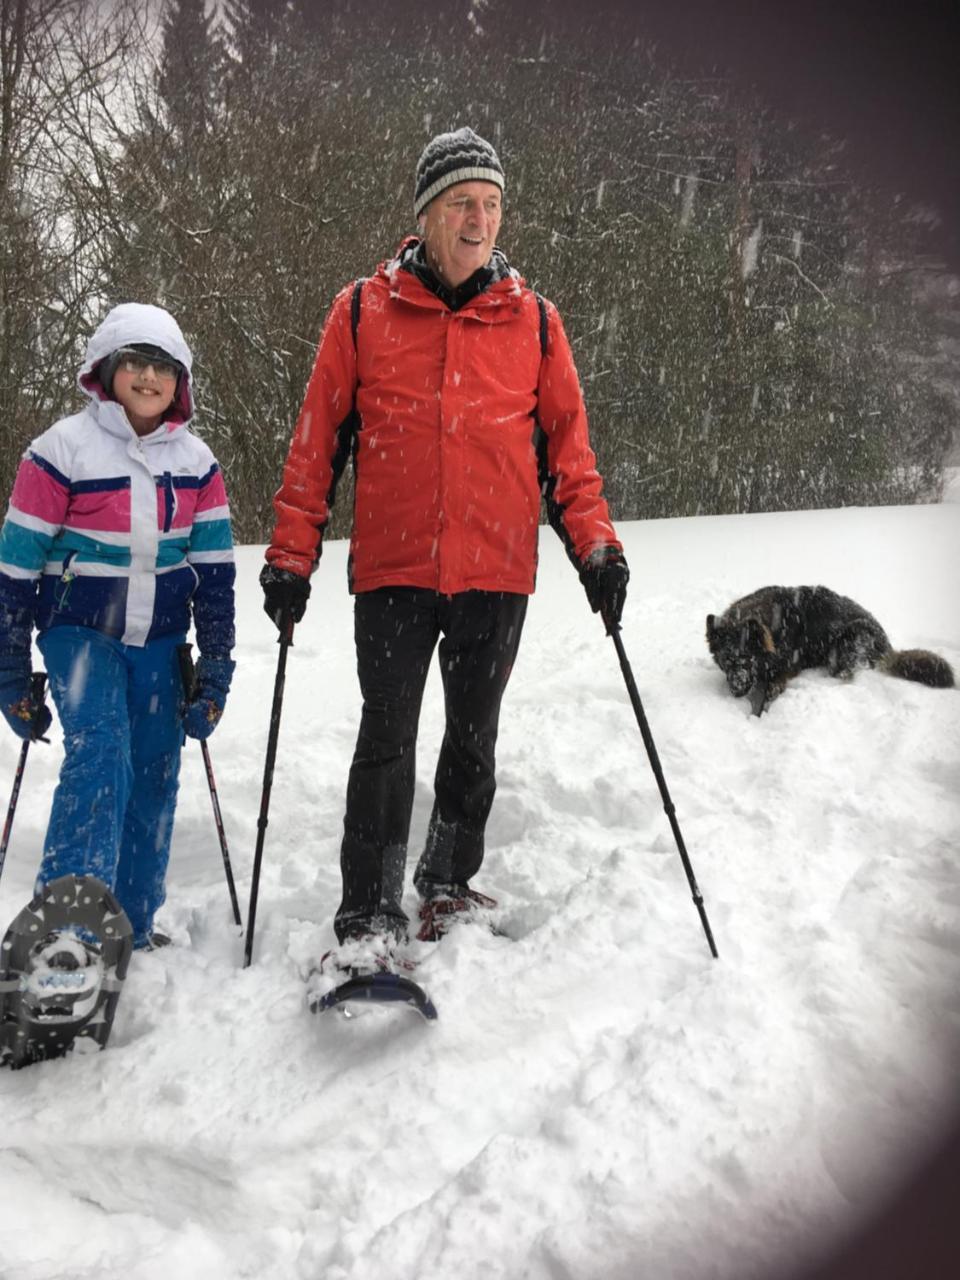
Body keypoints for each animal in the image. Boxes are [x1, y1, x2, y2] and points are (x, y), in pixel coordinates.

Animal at [706, 586, 957, 716]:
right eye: (726, 661)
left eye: (747, 659)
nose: (735, 691)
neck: (774, 629)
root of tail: (887, 646)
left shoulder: (783, 672)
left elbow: (767, 697)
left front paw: (758, 716)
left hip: (848, 640)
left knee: (846, 676)